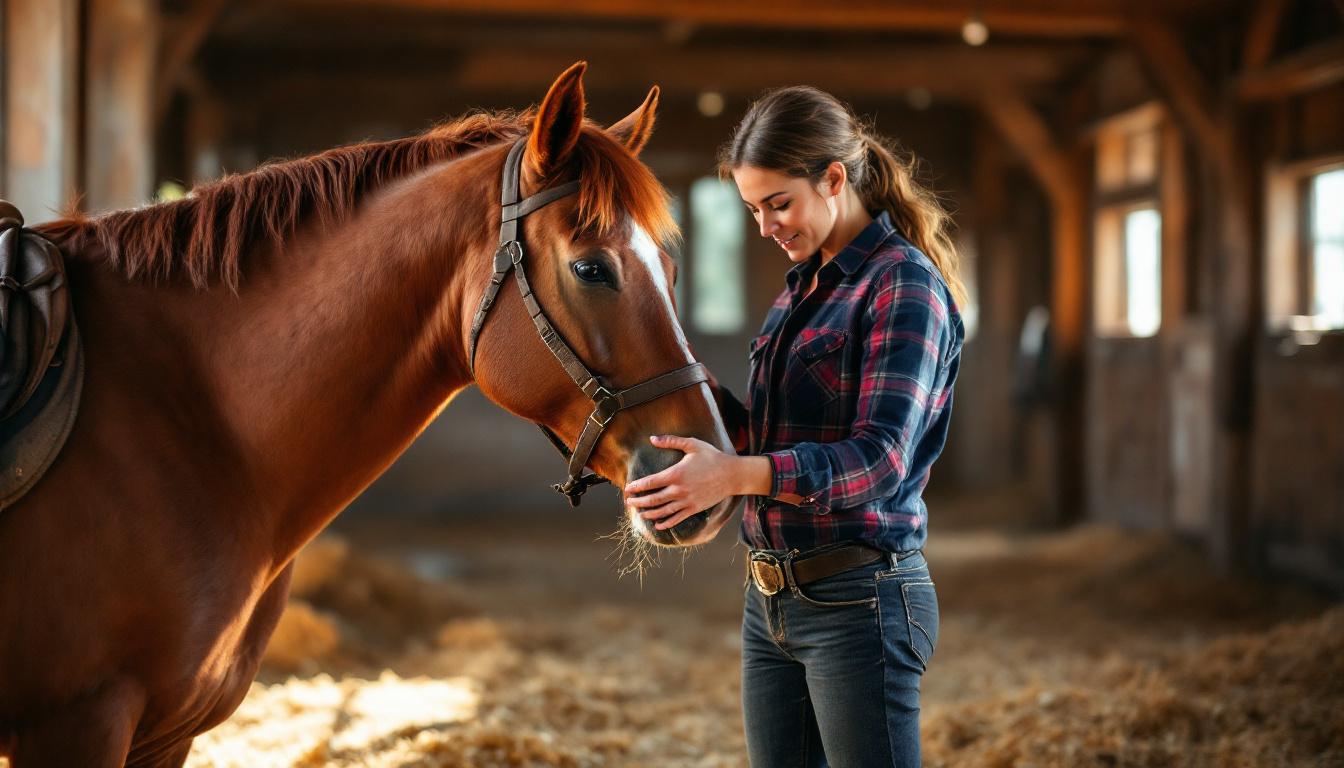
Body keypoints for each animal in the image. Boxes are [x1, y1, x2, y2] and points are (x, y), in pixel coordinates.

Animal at [0, 62, 737, 767]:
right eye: (590, 268)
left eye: (671, 269)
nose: (708, 478)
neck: (186, 411)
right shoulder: (80, 722)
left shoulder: (164, 735)